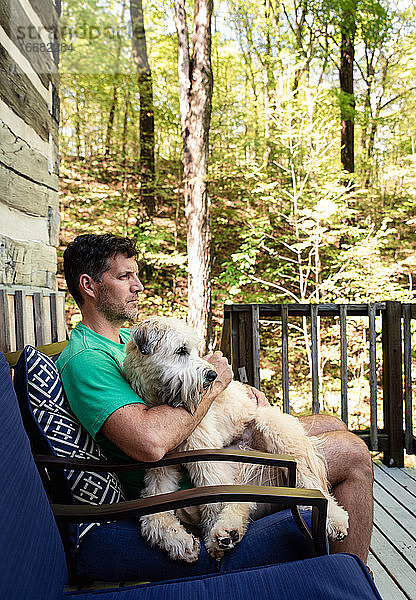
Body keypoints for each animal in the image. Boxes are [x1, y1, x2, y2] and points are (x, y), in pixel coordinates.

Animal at [122, 318, 348, 564]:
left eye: (195, 350)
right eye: (181, 350)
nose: (212, 376)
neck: (161, 400)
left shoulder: (205, 457)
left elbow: (214, 500)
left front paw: (210, 540)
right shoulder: (161, 470)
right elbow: (153, 515)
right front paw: (179, 541)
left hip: (275, 431)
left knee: (312, 484)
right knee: (245, 500)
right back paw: (228, 531)